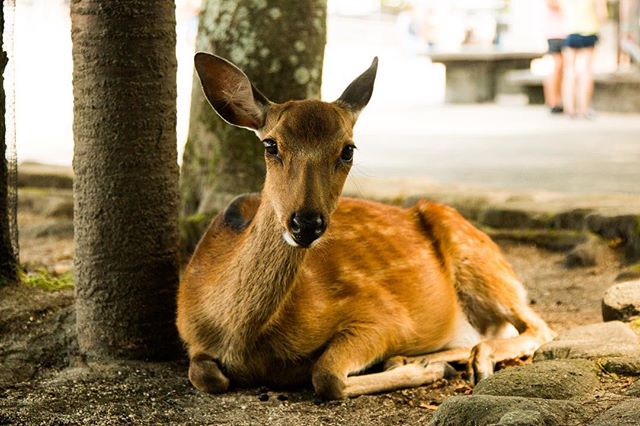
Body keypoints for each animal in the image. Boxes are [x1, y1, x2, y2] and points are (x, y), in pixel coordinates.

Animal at [176, 51, 556, 402]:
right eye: (271, 144)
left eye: (348, 150)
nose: (306, 222)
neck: (240, 337)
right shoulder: (191, 337)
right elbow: (205, 374)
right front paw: (421, 364)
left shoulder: (383, 317)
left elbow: (326, 375)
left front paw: (425, 369)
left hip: (482, 263)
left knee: (536, 327)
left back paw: (456, 361)